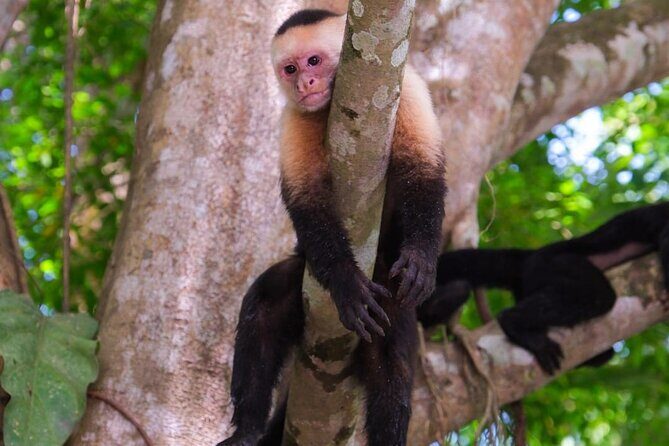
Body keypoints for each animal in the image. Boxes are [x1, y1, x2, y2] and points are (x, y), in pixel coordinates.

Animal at [218, 9, 446, 446]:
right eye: (290, 69)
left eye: (314, 62)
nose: (304, 84)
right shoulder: (294, 118)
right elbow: (308, 204)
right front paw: (345, 282)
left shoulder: (407, 90)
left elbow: (422, 171)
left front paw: (422, 257)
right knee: (264, 309)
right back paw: (249, 429)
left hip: (390, 291)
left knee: (392, 363)